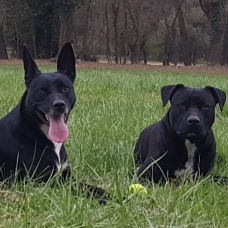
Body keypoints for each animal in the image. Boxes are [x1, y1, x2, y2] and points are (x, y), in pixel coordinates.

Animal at [0, 41, 109, 204]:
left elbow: (93, 188)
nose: (59, 105)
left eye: (65, 88)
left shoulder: (66, 176)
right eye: (41, 91)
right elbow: (81, 191)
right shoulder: (45, 182)